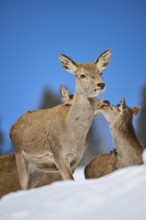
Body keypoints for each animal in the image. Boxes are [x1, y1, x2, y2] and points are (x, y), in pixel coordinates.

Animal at [10, 49, 110, 189]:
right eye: (82, 75)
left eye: (101, 72)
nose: (101, 84)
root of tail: (12, 127)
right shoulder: (58, 154)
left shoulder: (76, 159)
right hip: (19, 155)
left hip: (37, 168)